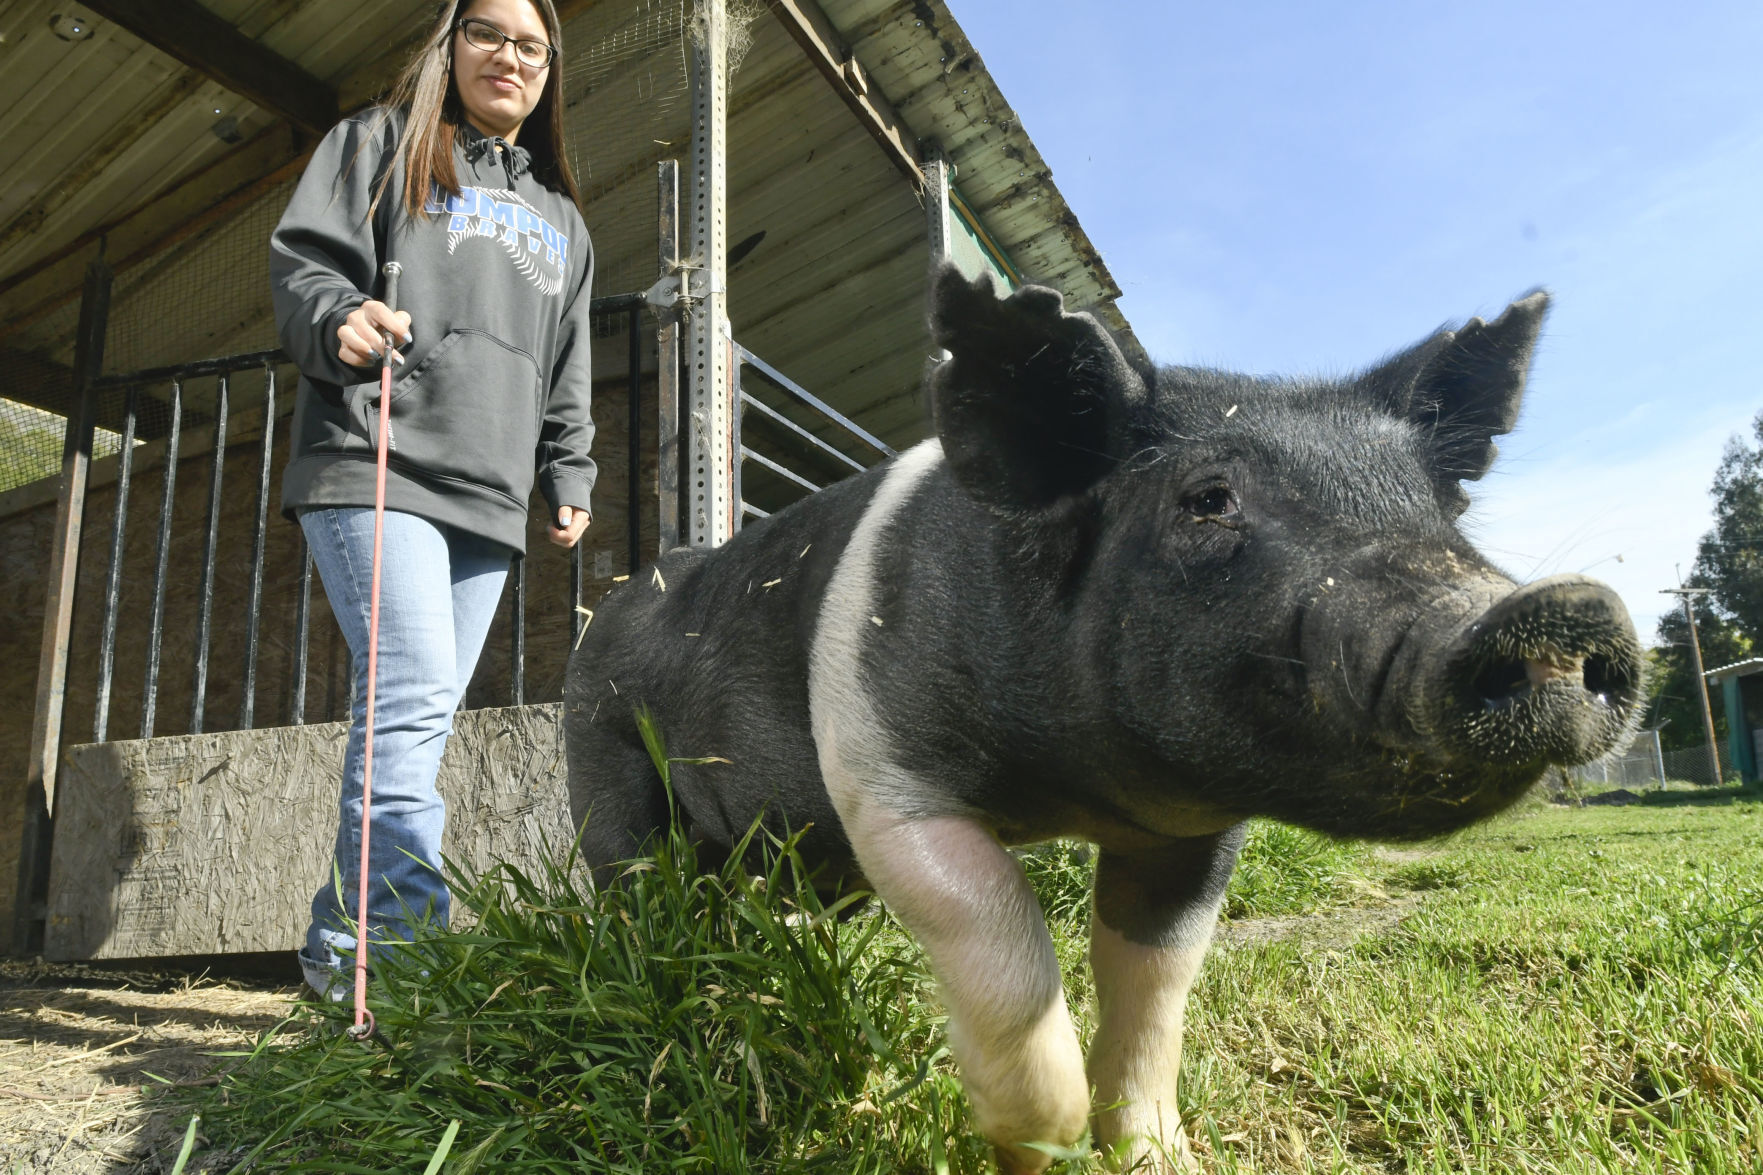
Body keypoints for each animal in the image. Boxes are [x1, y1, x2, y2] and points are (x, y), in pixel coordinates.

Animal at [563, 267, 1643, 1173]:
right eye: (1206, 500)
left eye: (1438, 510)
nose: (1565, 607)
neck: (1074, 784)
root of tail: (606, 605)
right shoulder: (881, 769)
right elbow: (1000, 933)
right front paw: (1031, 1140)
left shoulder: (1193, 824)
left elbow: (1154, 980)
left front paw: (1156, 1155)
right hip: (606, 769)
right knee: (636, 887)